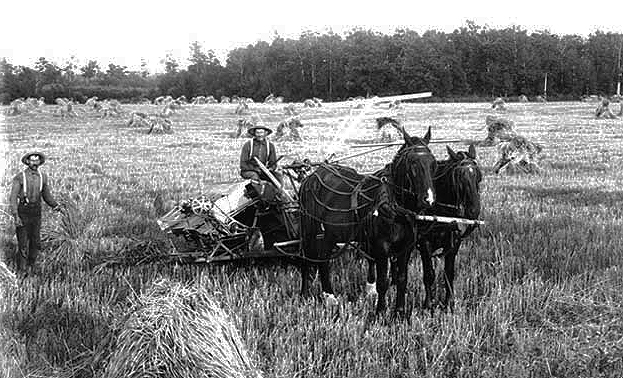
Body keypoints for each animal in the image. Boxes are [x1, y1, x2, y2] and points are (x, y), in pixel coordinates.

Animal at [298, 128, 438, 314]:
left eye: (433, 164)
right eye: (413, 163)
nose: (428, 200)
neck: (393, 204)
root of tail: (310, 177)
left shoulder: (405, 246)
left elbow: (402, 279)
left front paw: (399, 312)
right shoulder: (381, 247)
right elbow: (383, 282)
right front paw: (380, 312)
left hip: (329, 233)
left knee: (322, 260)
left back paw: (329, 297)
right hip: (310, 229)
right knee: (309, 259)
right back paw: (312, 295)